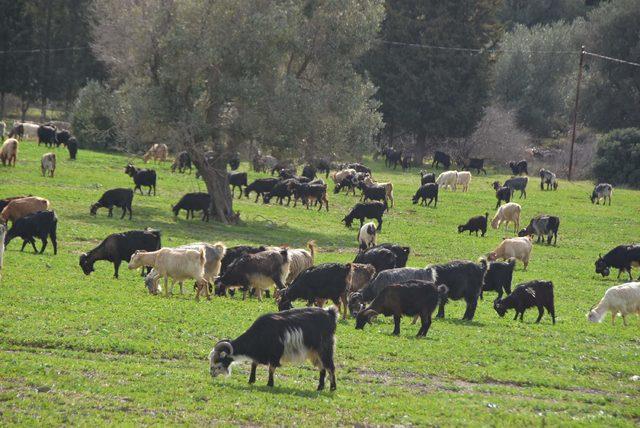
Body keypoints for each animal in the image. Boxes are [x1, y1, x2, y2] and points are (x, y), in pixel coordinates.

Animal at [210, 308, 340, 392]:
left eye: (217, 360)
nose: (211, 374)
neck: (260, 333)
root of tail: (330, 314)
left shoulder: (275, 354)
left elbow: (271, 369)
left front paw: (269, 384)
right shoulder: (259, 353)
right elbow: (254, 364)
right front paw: (251, 380)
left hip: (325, 348)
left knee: (330, 367)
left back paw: (332, 388)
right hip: (315, 353)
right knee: (322, 368)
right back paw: (320, 387)